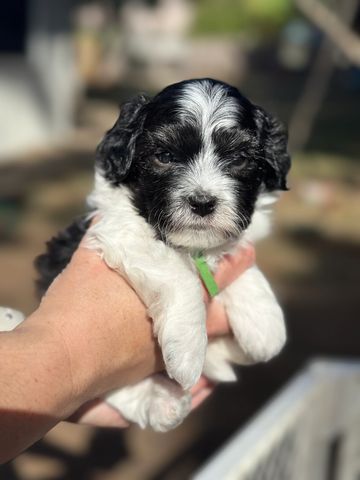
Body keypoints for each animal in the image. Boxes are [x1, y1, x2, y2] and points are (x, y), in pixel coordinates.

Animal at [35, 78, 292, 432]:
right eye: (165, 156)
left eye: (239, 158)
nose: (202, 202)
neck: (193, 246)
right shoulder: (120, 232)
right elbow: (181, 278)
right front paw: (188, 352)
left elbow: (242, 261)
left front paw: (266, 325)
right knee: (109, 388)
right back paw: (160, 402)